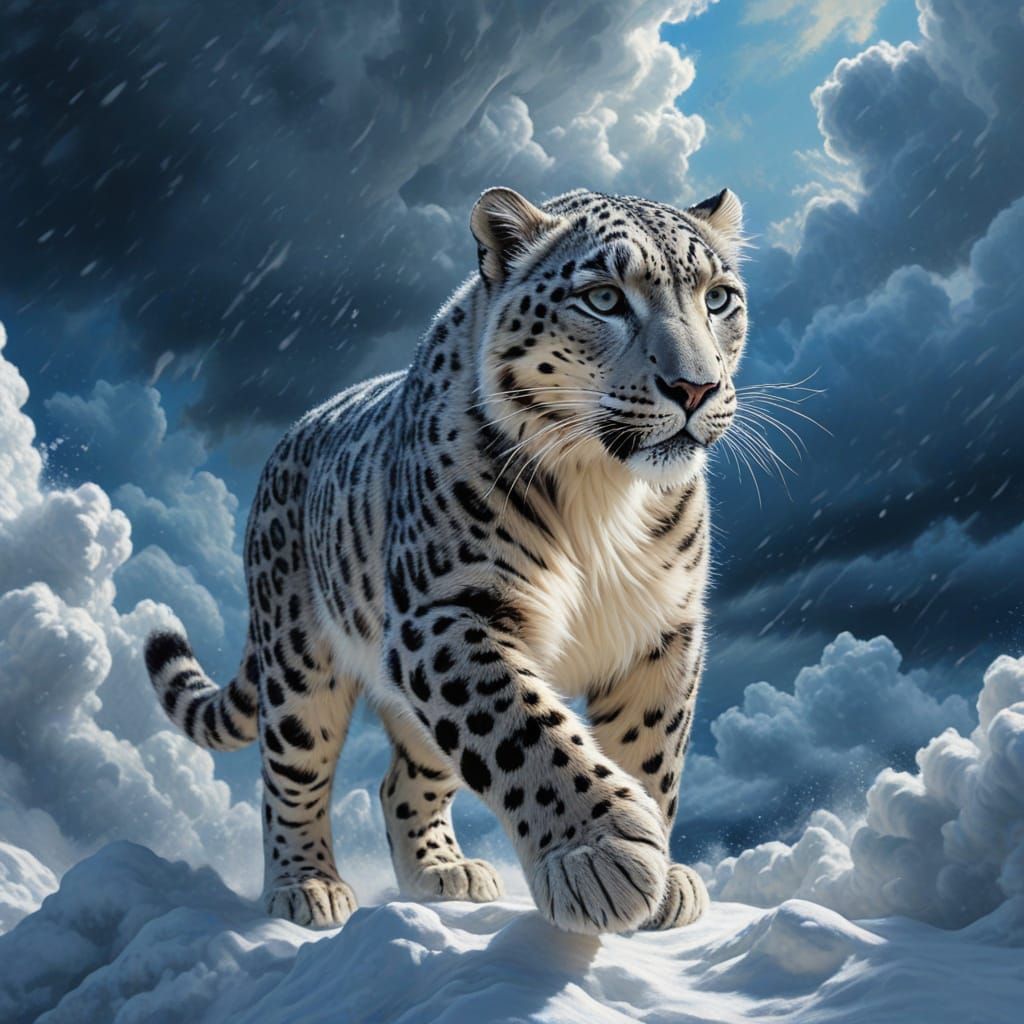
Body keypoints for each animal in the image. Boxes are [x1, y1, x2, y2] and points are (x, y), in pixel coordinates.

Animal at [144, 184, 747, 935]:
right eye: (604, 298)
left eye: (718, 298)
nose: (695, 388)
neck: (604, 495)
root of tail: (294, 432)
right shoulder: (449, 610)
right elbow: (519, 726)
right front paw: (600, 856)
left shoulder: (663, 631)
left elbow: (650, 749)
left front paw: (661, 879)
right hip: (296, 660)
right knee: (292, 772)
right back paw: (307, 887)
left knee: (403, 778)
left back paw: (443, 874)